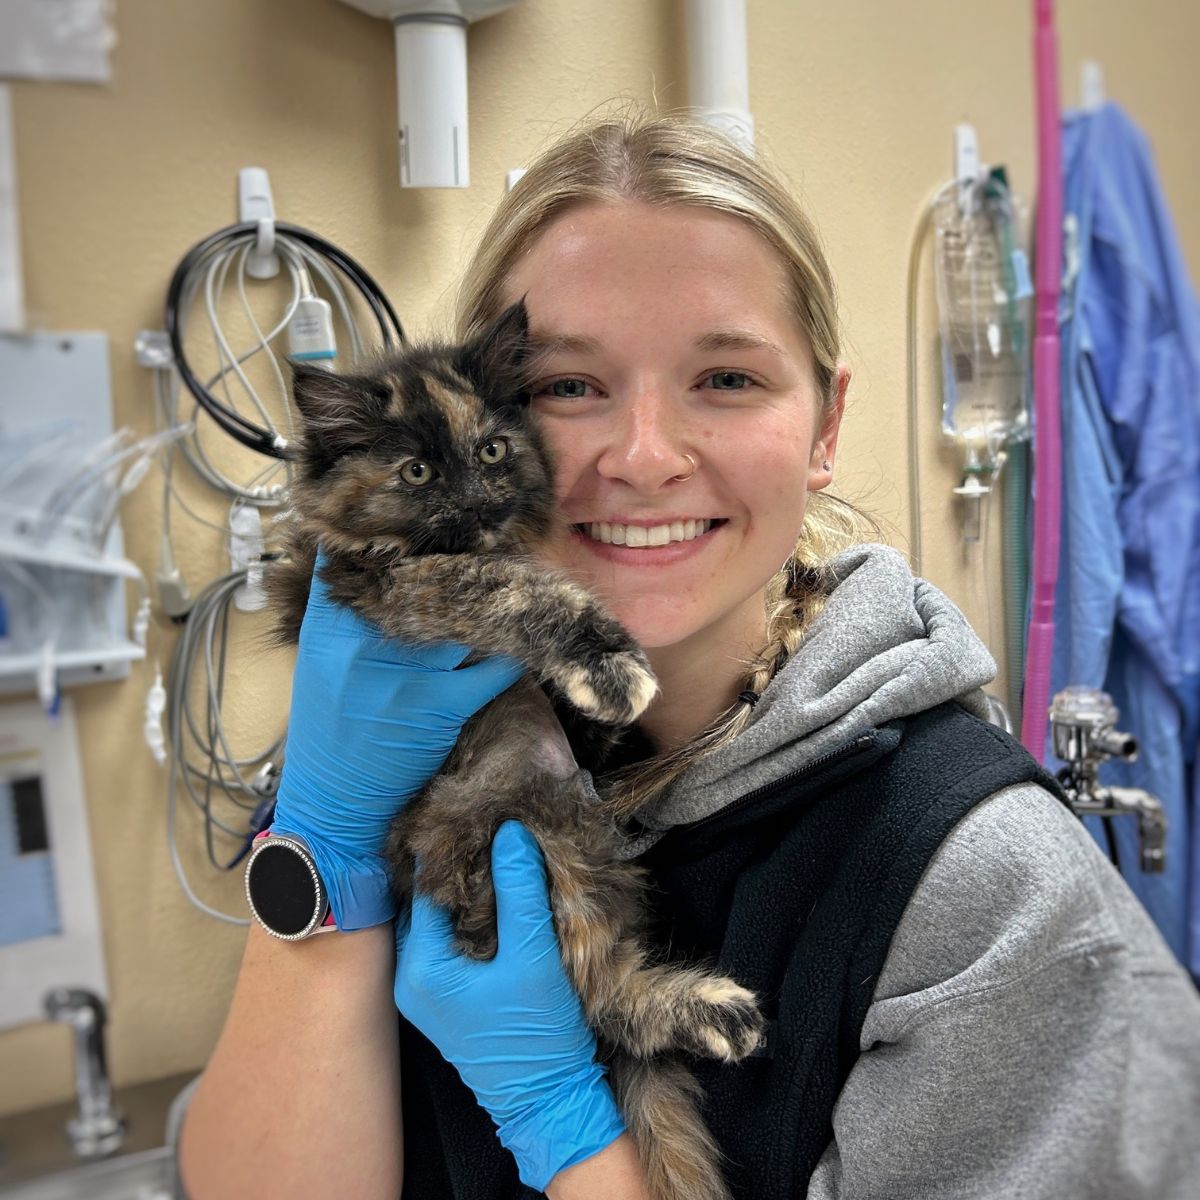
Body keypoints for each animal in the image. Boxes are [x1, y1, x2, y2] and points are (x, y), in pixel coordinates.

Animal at [268, 300, 763, 1200]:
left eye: (493, 451)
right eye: (417, 475)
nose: (477, 501)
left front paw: (601, 701)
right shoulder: (396, 585)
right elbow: (511, 588)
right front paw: (606, 663)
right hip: (523, 838)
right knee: (599, 999)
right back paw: (711, 1014)